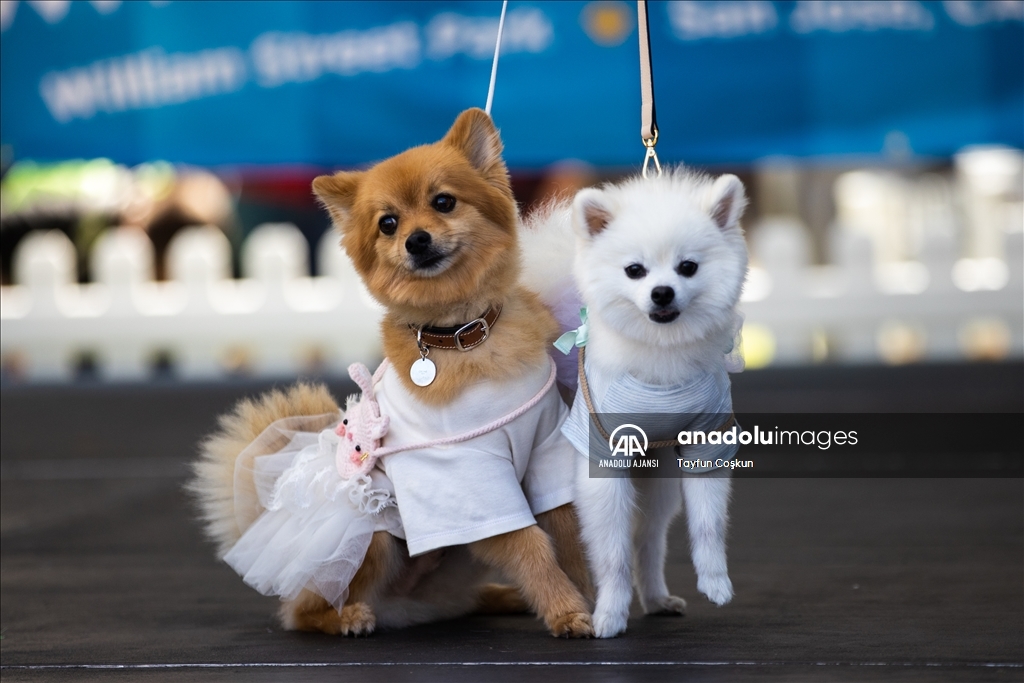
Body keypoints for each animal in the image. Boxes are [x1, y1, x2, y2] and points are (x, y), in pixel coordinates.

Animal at [192, 109, 593, 638]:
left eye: (443, 202)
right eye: (387, 223)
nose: (415, 239)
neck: (465, 334)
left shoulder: (546, 448)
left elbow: (568, 536)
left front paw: (594, 599)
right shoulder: (469, 478)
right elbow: (532, 546)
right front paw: (566, 608)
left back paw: (500, 598)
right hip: (373, 537)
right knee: (306, 610)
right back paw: (347, 617)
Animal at [524, 167, 749, 638]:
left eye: (688, 267)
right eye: (634, 270)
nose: (662, 292)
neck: (660, 363)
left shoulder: (706, 441)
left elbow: (707, 523)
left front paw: (715, 581)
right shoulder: (602, 458)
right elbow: (612, 553)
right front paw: (609, 614)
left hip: (658, 473)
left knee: (649, 537)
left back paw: (658, 598)